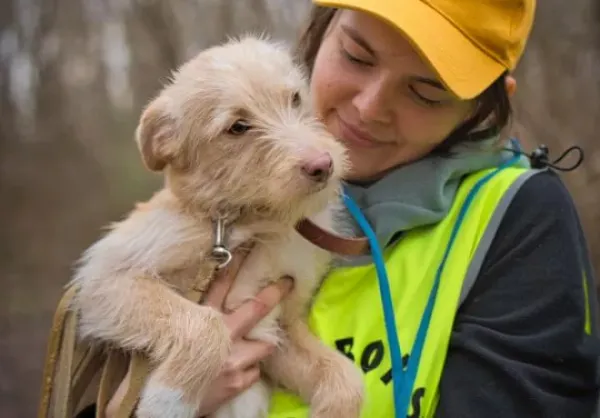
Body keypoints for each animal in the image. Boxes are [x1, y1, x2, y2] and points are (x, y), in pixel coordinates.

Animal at [68, 35, 364, 418]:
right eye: (237, 127)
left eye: (295, 99)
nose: (322, 165)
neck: (252, 223)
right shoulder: (105, 278)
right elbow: (206, 326)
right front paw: (168, 399)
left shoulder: (276, 327)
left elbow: (344, 378)